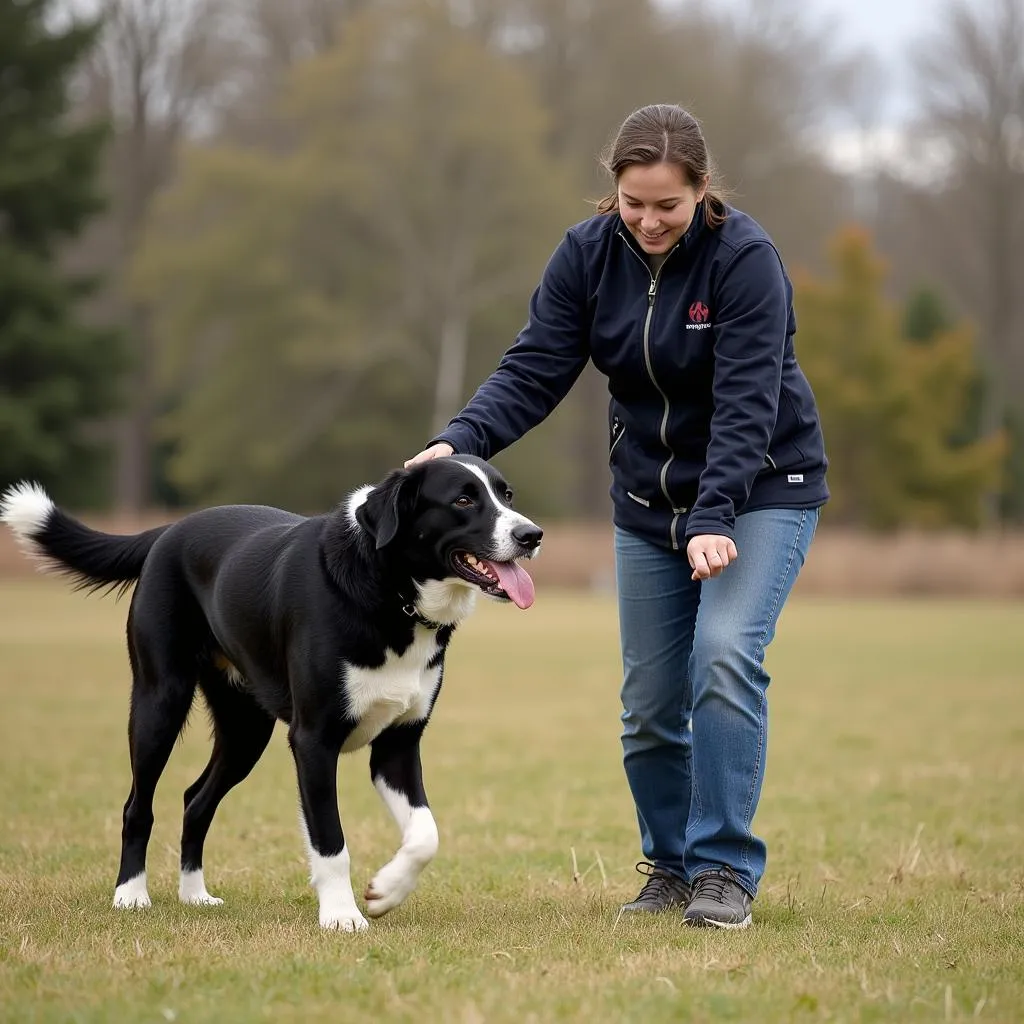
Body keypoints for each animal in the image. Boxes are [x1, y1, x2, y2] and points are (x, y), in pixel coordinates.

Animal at [0, 460, 544, 933]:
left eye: (507, 494)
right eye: (462, 499)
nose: (531, 535)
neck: (391, 594)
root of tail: (167, 531)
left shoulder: (398, 744)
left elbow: (426, 835)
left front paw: (385, 892)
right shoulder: (314, 741)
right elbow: (330, 839)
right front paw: (342, 916)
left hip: (246, 728)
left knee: (196, 800)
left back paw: (195, 896)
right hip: (159, 701)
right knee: (139, 804)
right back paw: (131, 895)